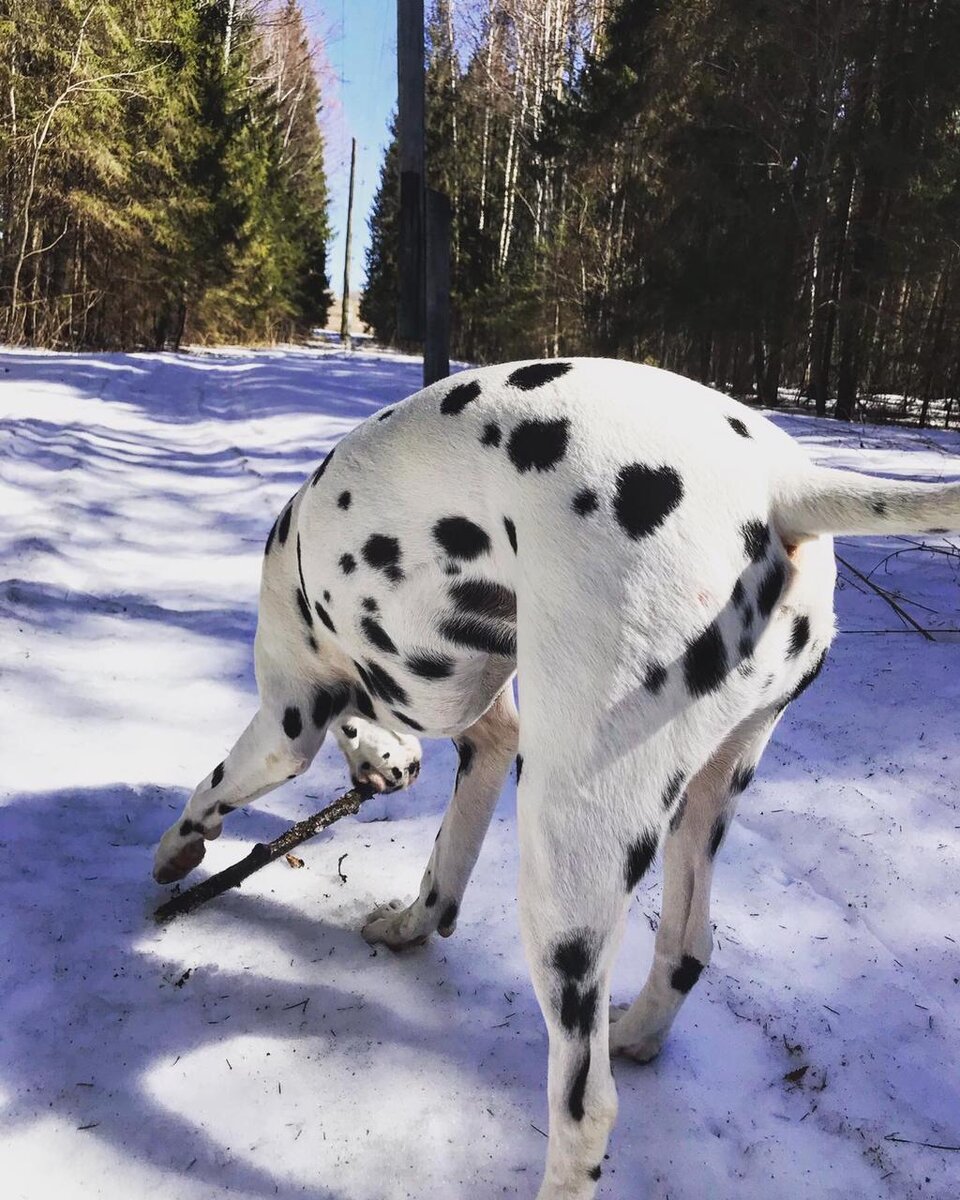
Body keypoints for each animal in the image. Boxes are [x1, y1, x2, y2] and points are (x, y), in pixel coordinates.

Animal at [153, 357, 955, 1200]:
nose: (393, 768)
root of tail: (783, 483)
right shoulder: (486, 738)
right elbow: (444, 869)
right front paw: (409, 924)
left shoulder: (288, 720)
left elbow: (212, 787)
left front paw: (178, 851)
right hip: (704, 801)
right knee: (687, 946)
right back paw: (637, 1032)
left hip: (565, 865)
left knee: (584, 1105)